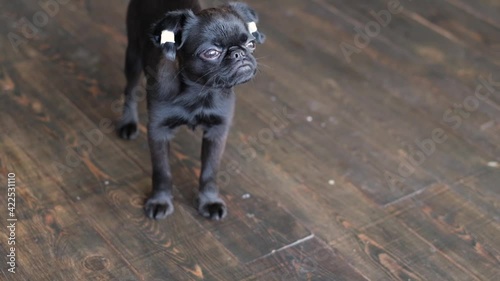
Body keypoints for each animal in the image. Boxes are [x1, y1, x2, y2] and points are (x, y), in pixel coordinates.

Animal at [117, 1, 266, 220]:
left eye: (251, 44)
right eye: (211, 53)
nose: (238, 53)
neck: (199, 91)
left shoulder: (217, 131)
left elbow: (210, 172)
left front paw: (209, 201)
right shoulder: (158, 130)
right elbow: (162, 171)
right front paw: (160, 201)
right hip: (133, 55)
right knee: (130, 90)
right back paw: (128, 122)